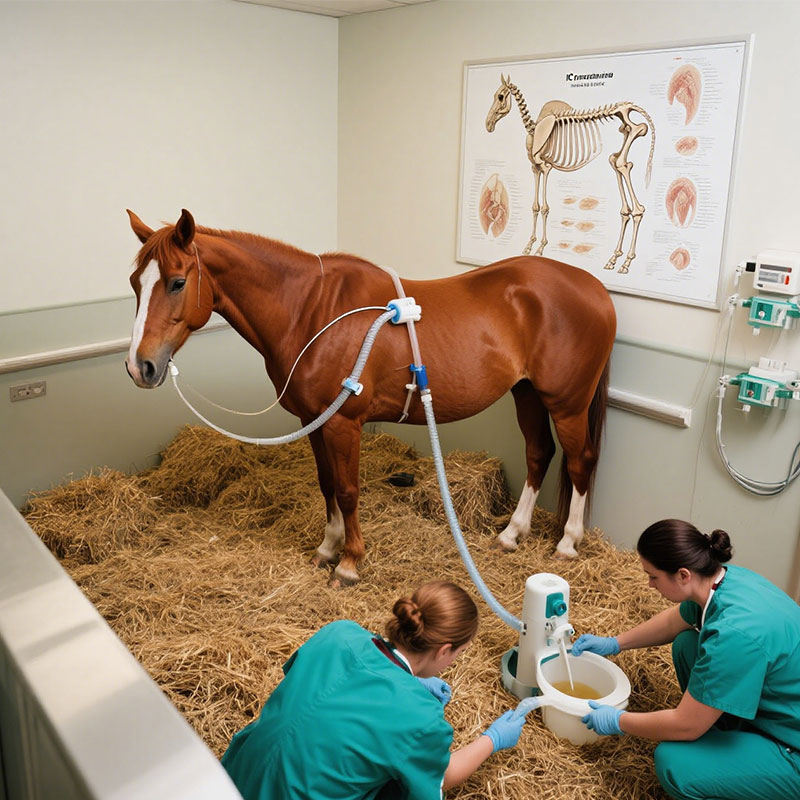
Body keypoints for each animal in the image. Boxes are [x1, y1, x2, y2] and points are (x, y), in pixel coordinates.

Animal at [125, 209, 616, 588]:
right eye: (134, 282)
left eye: (176, 282)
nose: (139, 366)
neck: (311, 311)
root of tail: (595, 289)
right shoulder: (314, 420)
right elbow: (326, 483)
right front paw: (328, 546)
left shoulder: (344, 423)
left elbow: (347, 489)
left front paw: (349, 562)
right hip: (527, 393)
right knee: (539, 454)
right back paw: (513, 534)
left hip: (567, 404)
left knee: (581, 461)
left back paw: (568, 543)